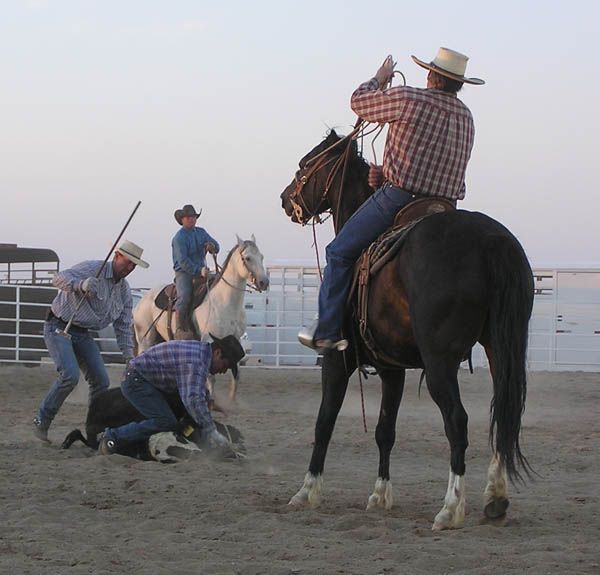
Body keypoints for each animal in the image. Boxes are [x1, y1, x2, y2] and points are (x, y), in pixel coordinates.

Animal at [136, 234, 270, 400]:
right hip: (145, 339)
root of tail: (142, 300)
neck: (225, 302)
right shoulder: (209, 340)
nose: (264, 282)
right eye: (247, 258)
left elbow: (236, 375)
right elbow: (210, 377)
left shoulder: (236, 340)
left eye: (261, 257)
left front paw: (232, 401)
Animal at [278, 130, 532, 532]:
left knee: (457, 421)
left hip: (440, 363)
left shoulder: (335, 360)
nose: (286, 199)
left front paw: (307, 492)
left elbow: (324, 422)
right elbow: (385, 430)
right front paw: (380, 496)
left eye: (306, 164)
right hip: (501, 350)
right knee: (503, 414)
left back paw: (451, 508)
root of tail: (490, 240)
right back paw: (495, 498)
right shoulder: (391, 369)